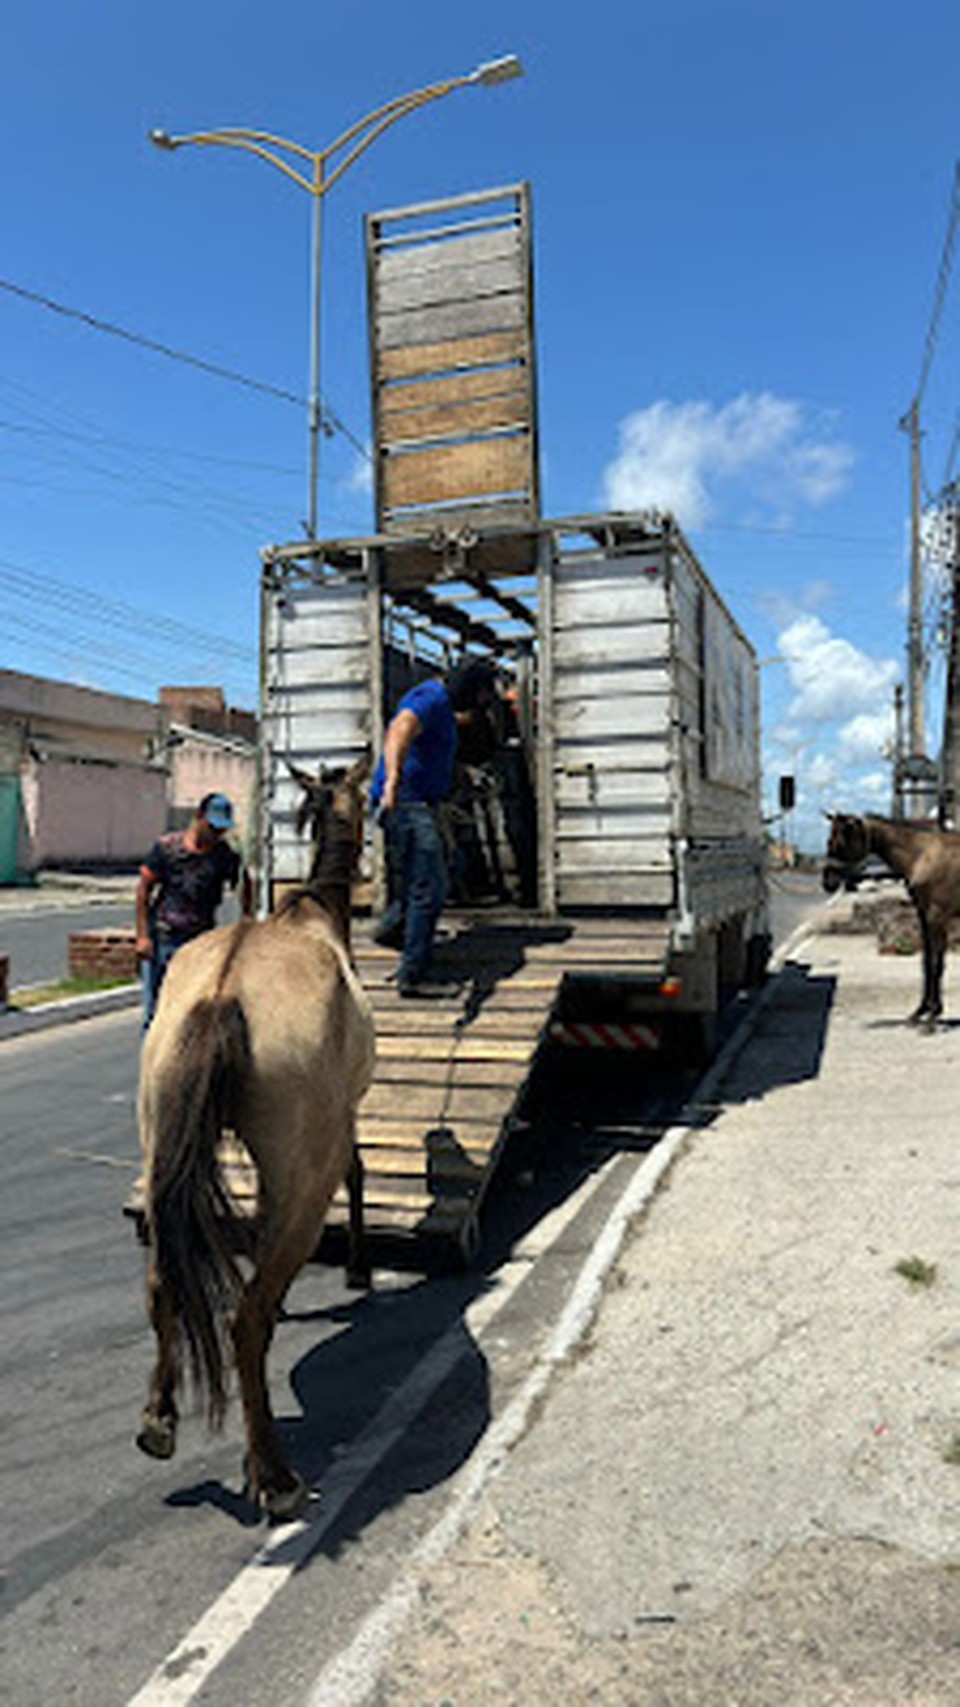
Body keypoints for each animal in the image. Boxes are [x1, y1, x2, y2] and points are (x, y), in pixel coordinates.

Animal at [134, 754, 374, 1515]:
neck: (314, 913)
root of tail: (222, 996)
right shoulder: (342, 1111)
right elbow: (358, 1170)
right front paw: (359, 1267)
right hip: (303, 1167)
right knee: (247, 1314)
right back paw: (274, 1474)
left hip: (159, 1137)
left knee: (164, 1285)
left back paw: (159, 1419)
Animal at [819, 809, 960, 1024]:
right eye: (828, 841)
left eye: (840, 844)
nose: (827, 882)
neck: (922, 855)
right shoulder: (924, 916)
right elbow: (926, 962)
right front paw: (921, 1010)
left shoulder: (938, 916)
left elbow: (937, 963)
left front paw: (933, 1015)